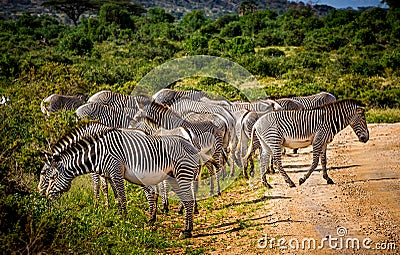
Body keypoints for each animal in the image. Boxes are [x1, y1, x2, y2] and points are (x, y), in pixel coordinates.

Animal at [42, 122, 202, 238]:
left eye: (51, 177)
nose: (46, 196)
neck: (98, 154)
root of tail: (190, 143)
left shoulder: (116, 171)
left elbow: (122, 197)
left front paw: (124, 220)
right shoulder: (110, 175)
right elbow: (117, 197)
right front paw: (119, 217)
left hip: (182, 173)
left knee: (187, 200)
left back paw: (186, 231)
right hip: (176, 176)